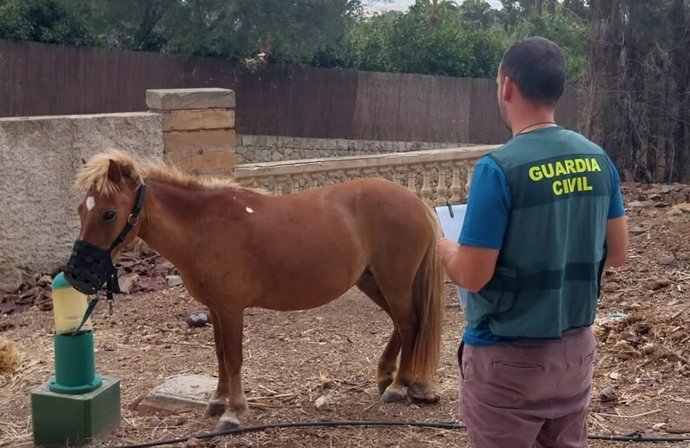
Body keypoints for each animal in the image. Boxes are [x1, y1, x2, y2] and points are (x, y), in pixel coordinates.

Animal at [70, 151, 444, 434]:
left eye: (109, 213)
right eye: (81, 209)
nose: (78, 275)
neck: (203, 226)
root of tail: (416, 201)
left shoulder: (231, 308)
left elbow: (234, 357)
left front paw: (233, 413)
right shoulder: (216, 308)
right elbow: (221, 355)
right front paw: (217, 401)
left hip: (393, 281)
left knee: (409, 323)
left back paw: (399, 385)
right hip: (372, 281)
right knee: (401, 324)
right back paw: (388, 376)